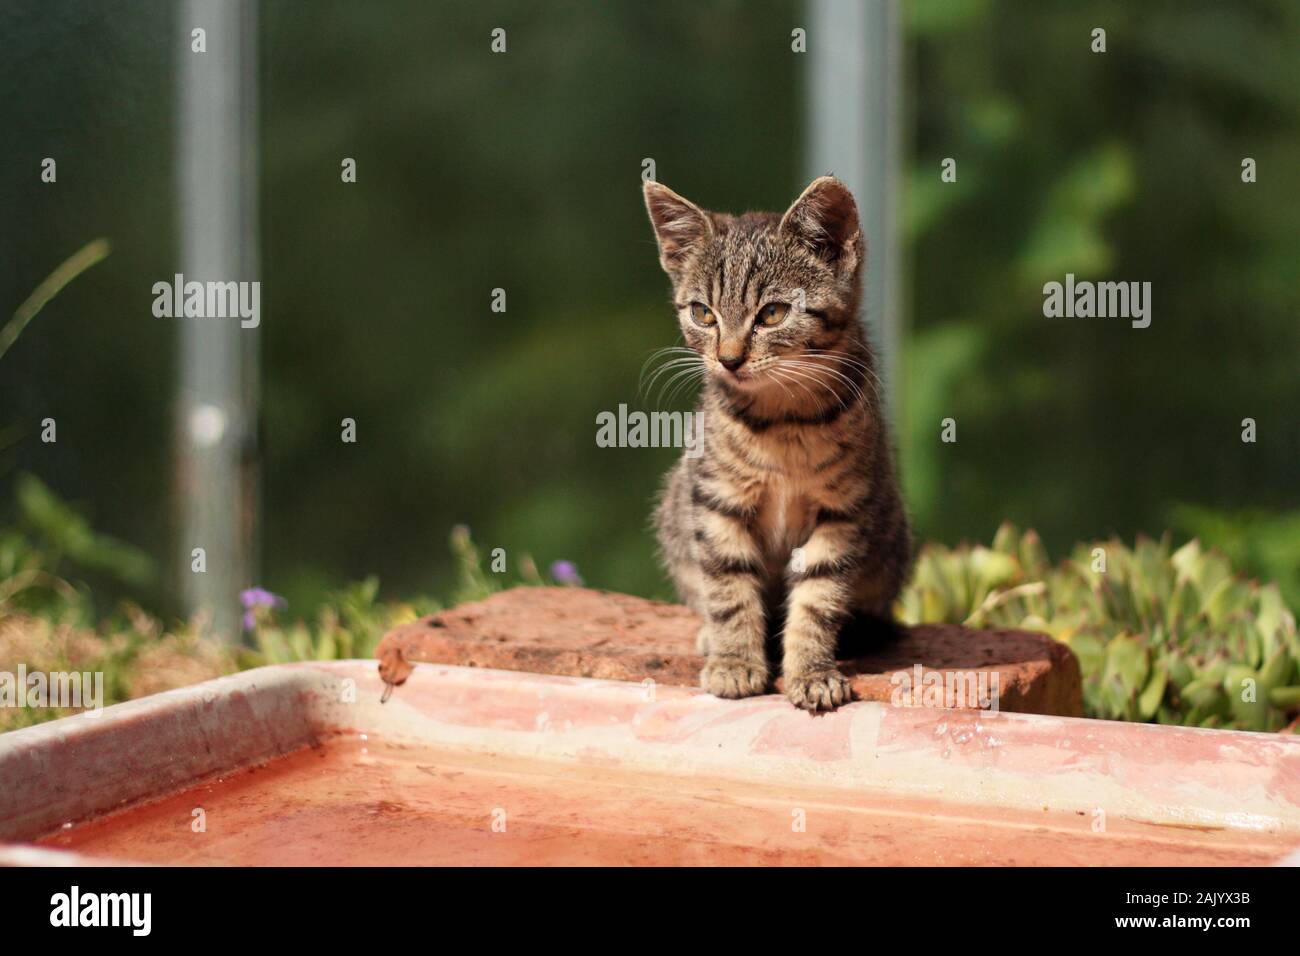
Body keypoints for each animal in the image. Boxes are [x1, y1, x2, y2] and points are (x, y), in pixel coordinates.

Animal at [642, 175, 909, 712]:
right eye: (703, 314)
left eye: (772, 314)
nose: (728, 359)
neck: (785, 419)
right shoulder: (716, 500)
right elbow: (728, 589)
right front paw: (734, 662)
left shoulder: (845, 509)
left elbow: (818, 596)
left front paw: (812, 671)